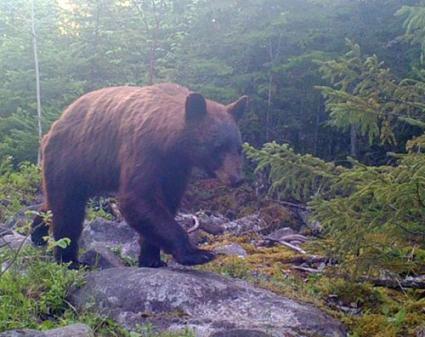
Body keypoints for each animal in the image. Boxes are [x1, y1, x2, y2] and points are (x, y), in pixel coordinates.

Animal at [29, 84, 247, 268]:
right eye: (218, 147)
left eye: (238, 148)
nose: (237, 178)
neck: (170, 141)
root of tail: (53, 127)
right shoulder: (143, 148)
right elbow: (137, 198)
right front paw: (197, 253)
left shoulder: (175, 168)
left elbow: (165, 203)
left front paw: (152, 259)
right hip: (70, 158)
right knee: (68, 208)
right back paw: (70, 260)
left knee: (54, 204)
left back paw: (37, 233)